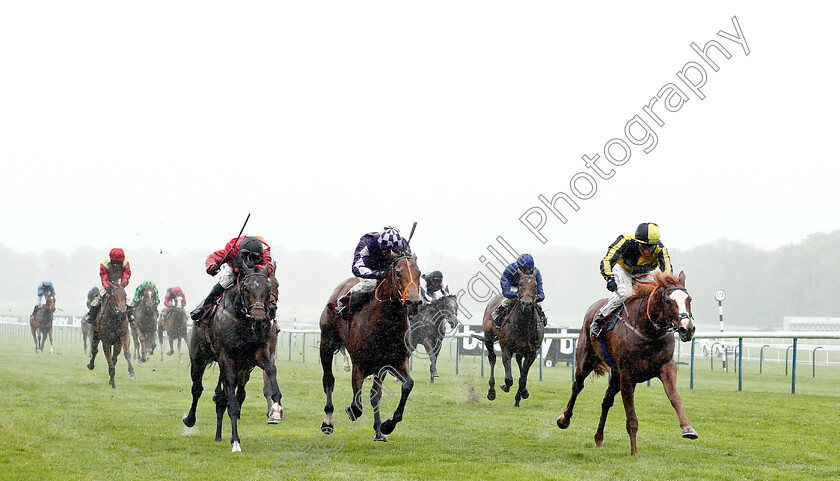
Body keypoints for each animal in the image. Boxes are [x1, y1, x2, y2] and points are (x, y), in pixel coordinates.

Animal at [181, 260, 282, 452]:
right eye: (246, 288)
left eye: (270, 287)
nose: (260, 317)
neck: (242, 319)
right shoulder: (226, 358)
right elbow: (232, 404)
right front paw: (235, 441)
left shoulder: (258, 355)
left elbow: (271, 371)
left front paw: (276, 408)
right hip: (198, 358)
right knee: (197, 388)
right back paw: (190, 420)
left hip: (241, 368)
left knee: (228, 395)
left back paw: (218, 435)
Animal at [318, 253, 424, 440]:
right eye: (398, 273)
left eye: (419, 273)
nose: (414, 302)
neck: (385, 325)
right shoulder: (359, 364)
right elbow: (357, 403)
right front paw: (351, 411)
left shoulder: (393, 362)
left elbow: (405, 385)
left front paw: (386, 426)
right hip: (327, 343)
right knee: (329, 380)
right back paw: (328, 421)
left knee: (376, 394)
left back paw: (378, 430)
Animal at [480, 268, 544, 406]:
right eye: (520, 284)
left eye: (535, 285)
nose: (526, 303)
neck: (523, 324)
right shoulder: (506, 349)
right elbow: (509, 379)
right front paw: (504, 386)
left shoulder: (532, 352)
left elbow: (523, 378)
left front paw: (521, 394)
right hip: (488, 337)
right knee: (492, 358)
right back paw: (491, 391)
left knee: (519, 362)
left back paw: (520, 395)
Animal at [556, 272, 700, 456]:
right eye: (668, 301)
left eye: (689, 299)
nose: (686, 329)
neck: (648, 332)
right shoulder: (627, 375)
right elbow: (631, 417)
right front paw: (634, 452)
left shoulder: (666, 367)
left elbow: (675, 397)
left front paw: (688, 428)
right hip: (586, 359)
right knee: (577, 386)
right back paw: (564, 419)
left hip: (615, 375)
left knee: (606, 401)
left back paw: (598, 439)